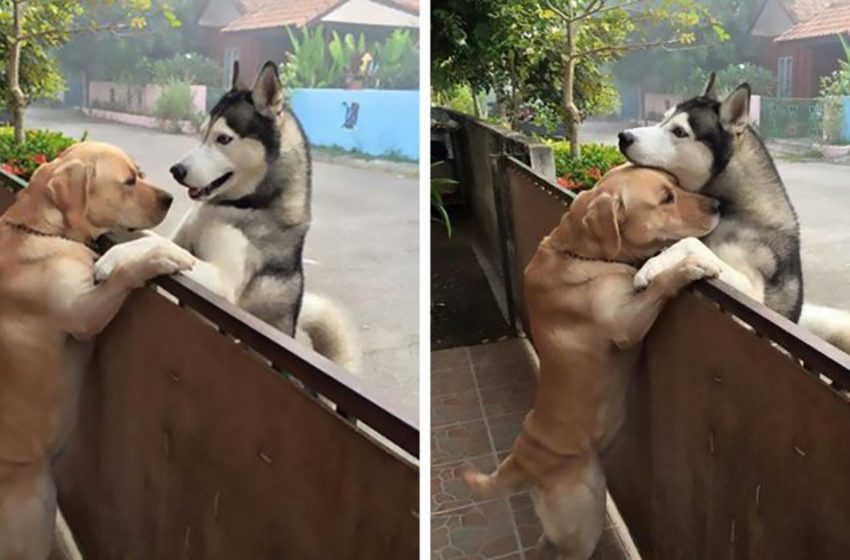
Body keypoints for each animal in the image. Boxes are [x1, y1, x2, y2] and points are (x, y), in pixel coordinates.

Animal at [464, 74, 850, 560]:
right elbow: (683, 247)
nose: (623, 137)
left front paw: (657, 266)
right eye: (663, 119)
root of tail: (521, 458)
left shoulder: (746, 288)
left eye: (680, 131)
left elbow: (690, 245)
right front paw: (659, 265)